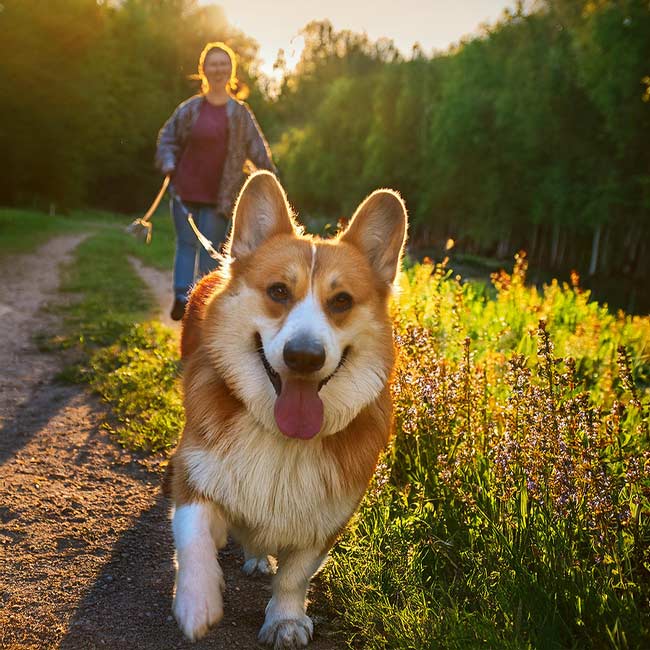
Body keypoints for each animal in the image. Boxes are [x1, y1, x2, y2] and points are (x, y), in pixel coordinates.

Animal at [163, 170, 404, 644]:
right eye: (278, 291)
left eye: (342, 301)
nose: (304, 357)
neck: (281, 438)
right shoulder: (194, 475)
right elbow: (194, 534)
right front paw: (197, 603)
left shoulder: (326, 520)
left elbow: (295, 575)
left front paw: (286, 621)